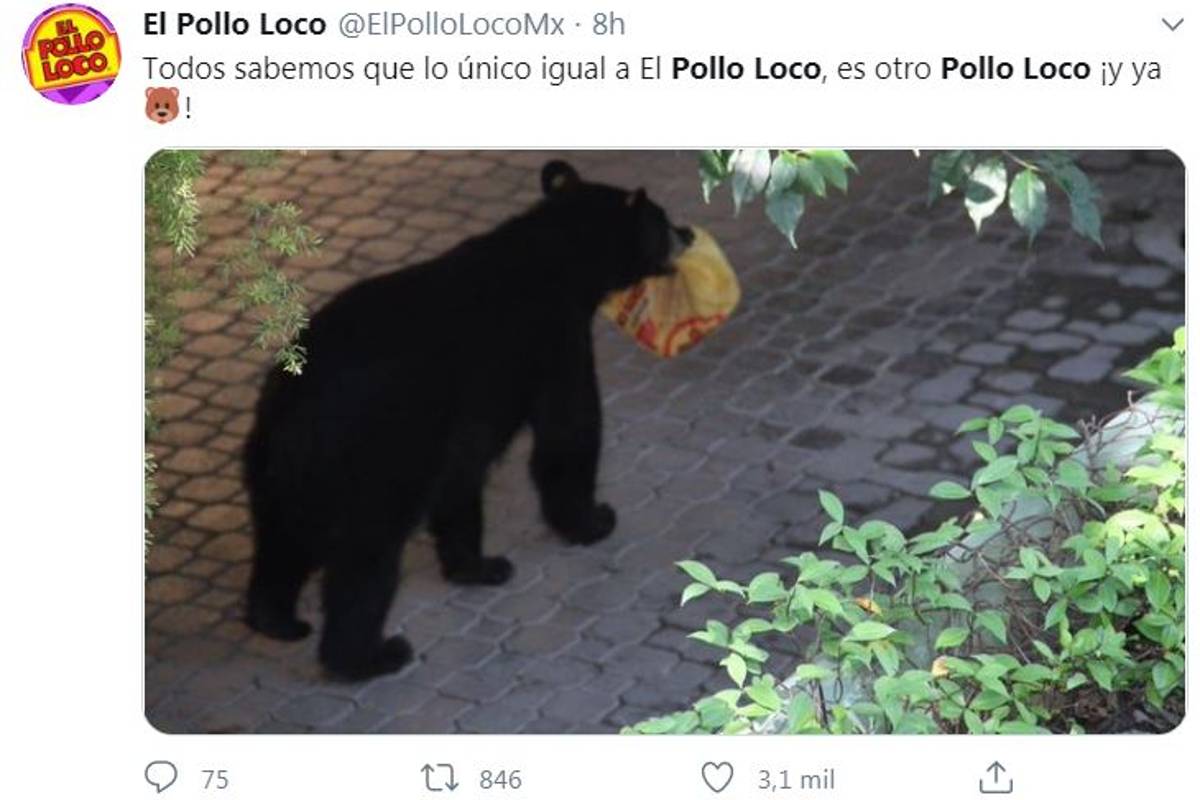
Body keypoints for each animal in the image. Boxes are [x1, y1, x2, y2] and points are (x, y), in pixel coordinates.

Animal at [243, 160, 695, 680]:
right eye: (661, 220)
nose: (688, 232)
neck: (558, 255)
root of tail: (294, 405)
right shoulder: (556, 337)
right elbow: (569, 430)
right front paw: (594, 519)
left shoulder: (464, 415)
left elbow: (461, 477)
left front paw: (477, 565)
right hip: (376, 452)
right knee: (367, 554)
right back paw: (370, 655)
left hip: (277, 469)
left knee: (281, 541)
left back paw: (275, 618)